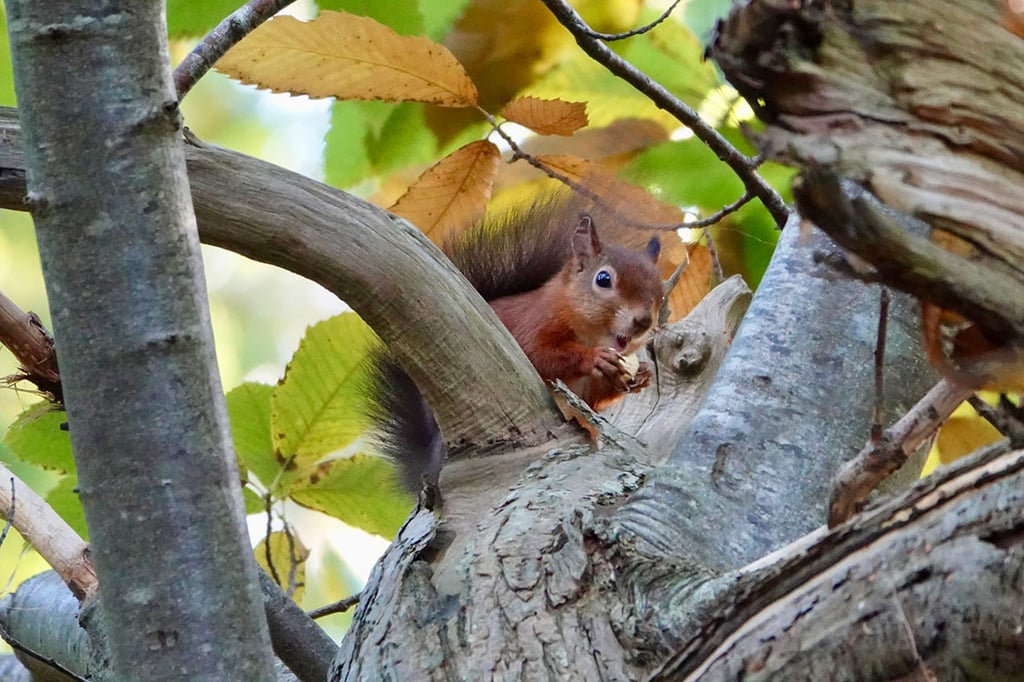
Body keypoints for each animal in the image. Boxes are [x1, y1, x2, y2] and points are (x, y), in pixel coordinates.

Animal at [369, 194, 664, 492]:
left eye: (660, 293)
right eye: (603, 279)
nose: (643, 321)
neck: (588, 333)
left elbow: (597, 396)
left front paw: (641, 375)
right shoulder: (531, 326)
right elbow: (540, 356)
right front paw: (595, 358)